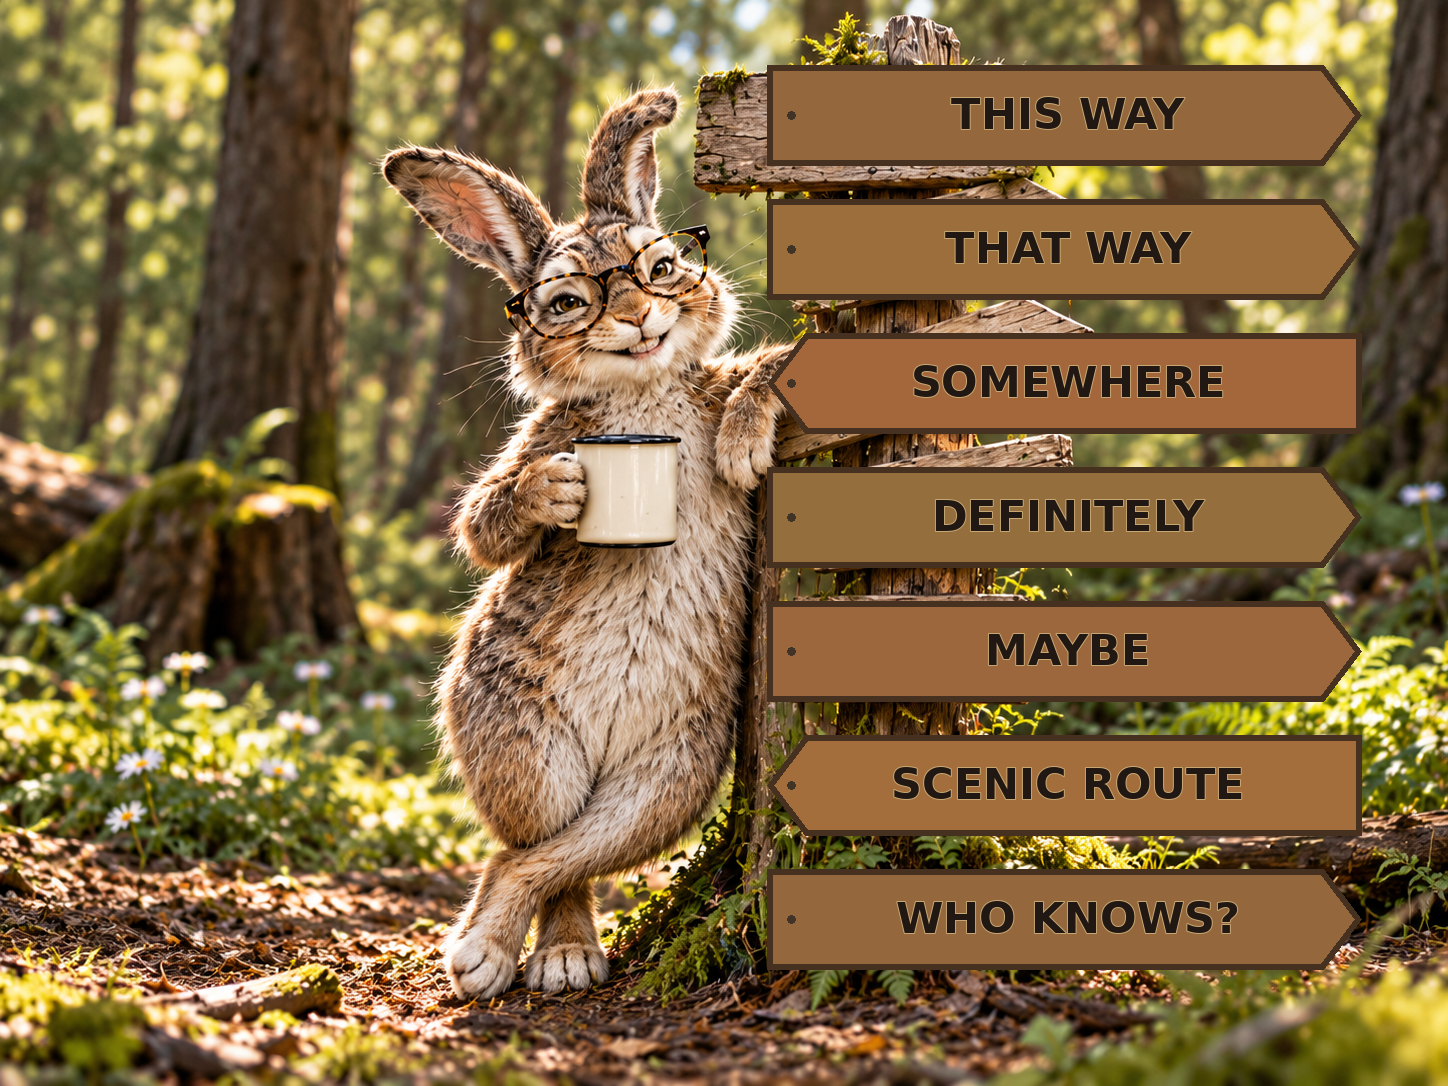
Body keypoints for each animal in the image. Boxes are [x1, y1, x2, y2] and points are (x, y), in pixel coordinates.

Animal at [381, 87, 789, 999]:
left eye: (660, 267)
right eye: (568, 302)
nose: (638, 318)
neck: (641, 399)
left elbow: (769, 365)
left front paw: (743, 446)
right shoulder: (542, 438)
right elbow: (480, 524)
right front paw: (556, 492)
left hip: (667, 778)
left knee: (562, 858)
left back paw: (549, 959)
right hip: (521, 743)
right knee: (528, 851)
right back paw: (503, 957)